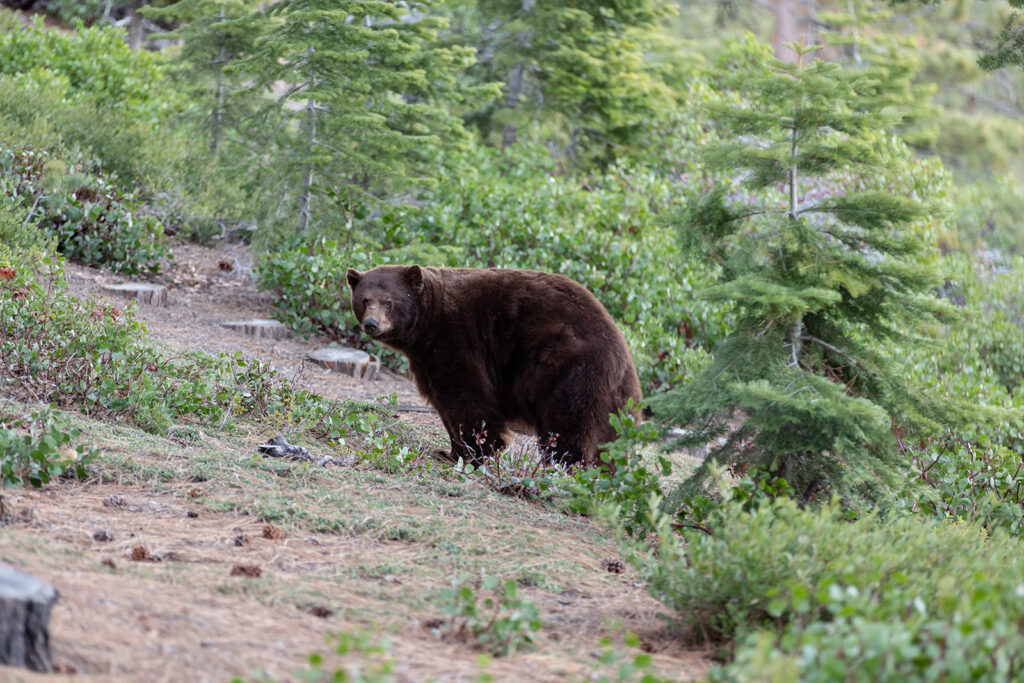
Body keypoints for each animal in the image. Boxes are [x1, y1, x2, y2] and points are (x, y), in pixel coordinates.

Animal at [348, 264, 643, 466]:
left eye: (389, 302)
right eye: (364, 300)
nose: (371, 324)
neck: (428, 327)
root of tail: (622, 354)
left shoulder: (459, 340)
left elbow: (468, 398)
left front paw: (479, 451)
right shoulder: (426, 362)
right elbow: (443, 402)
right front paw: (451, 450)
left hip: (570, 369)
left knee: (569, 424)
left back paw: (561, 466)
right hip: (615, 404)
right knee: (609, 442)